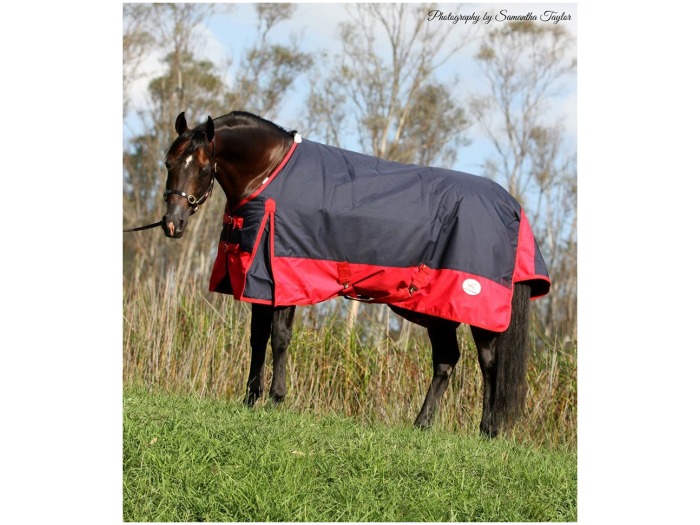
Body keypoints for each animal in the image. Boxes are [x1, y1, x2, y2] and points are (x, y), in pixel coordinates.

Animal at [160, 110, 550, 437]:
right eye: (169, 162)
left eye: (203, 168)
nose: (172, 224)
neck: (270, 173)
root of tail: (513, 208)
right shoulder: (258, 277)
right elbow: (257, 338)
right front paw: (250, 399)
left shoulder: (284, 274)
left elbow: (279, 338)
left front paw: (275, 398)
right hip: (437, 308)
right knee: (446, 360)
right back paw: (422, 424)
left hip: (477, 307)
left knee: (489, 363)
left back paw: (488, 429)